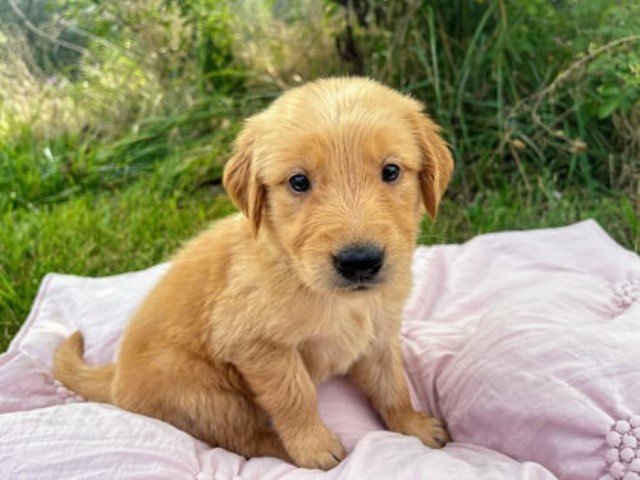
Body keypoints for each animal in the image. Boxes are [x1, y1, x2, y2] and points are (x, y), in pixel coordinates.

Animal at [56, 77, 456, 470]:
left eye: (391, 171)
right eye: (298, 182)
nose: (359, 261)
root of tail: (115, 377)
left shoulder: (379, 332)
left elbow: (393, 385)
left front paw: (413, 425)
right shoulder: (255, 344)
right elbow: (296, 395)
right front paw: (314, 449)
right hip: (204, 394)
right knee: (245, 439)